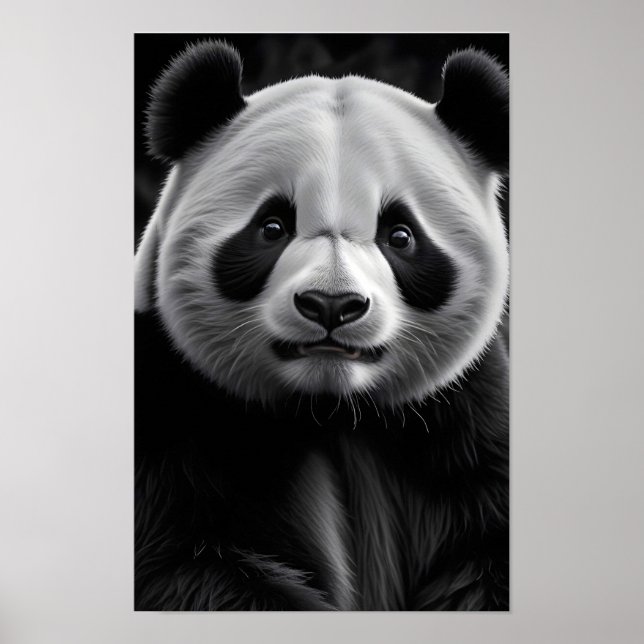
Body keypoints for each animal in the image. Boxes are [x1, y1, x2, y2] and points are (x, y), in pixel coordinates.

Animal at [135, 39, 509, 611]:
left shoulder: (463, 423)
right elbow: (185, 563)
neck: (330, 410)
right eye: (272, 226)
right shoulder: (172, 410)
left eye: (400, 235)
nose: (331, 305)